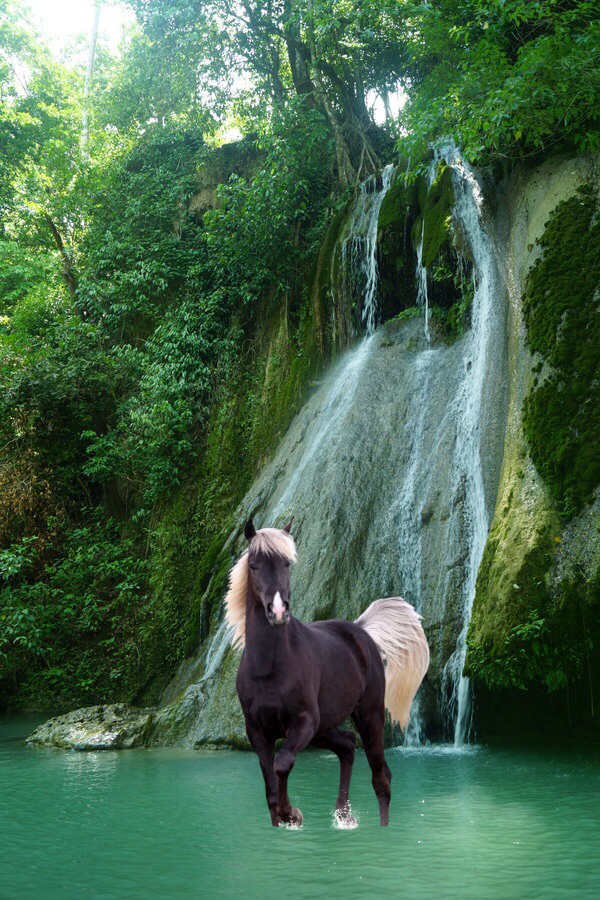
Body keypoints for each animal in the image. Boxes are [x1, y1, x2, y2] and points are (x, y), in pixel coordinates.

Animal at [223, 516, 428, 828]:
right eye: (254, 565)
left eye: (287, 563)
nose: (278, 612)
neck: (269, 668)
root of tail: (361, 631)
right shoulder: (257, 731)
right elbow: (270, 788)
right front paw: (284, 816)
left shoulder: (304, 721)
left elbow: (282, 763)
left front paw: (292, 813)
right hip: (324, 730)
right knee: (348, 746)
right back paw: (343, 814)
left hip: (368, 717)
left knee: (381, 778)